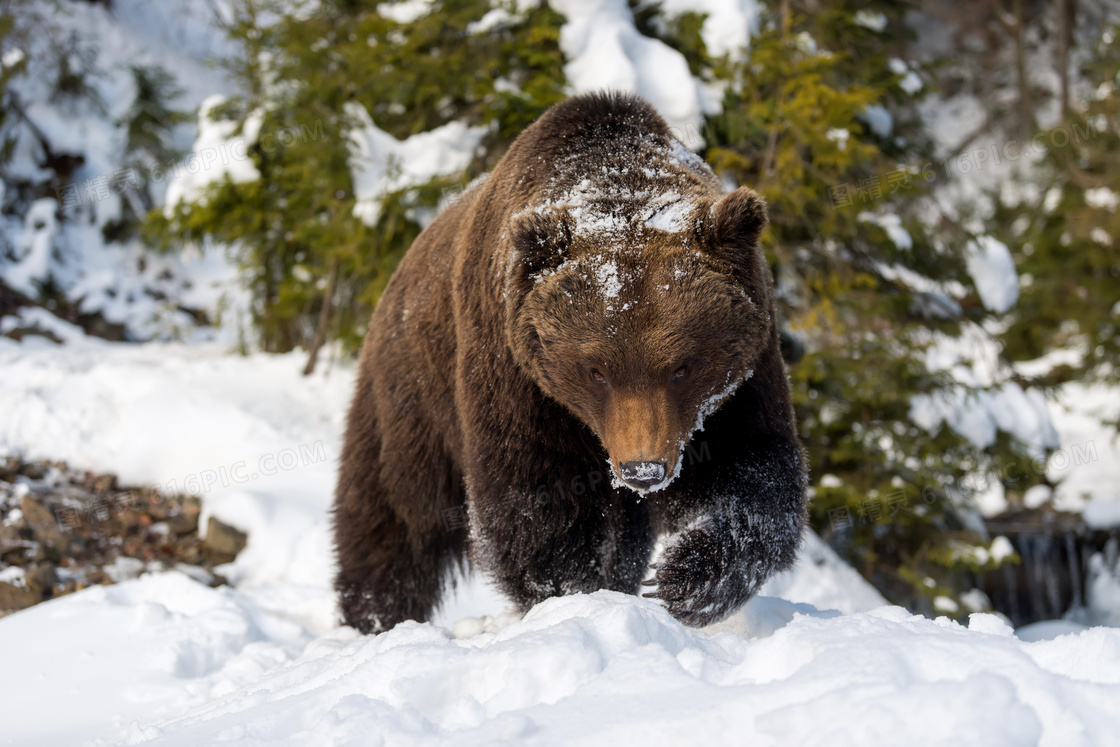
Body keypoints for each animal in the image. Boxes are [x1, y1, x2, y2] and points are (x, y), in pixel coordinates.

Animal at [331, 90, 806, 636]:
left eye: (682, 367)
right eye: (596, 371)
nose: (644, 469)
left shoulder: (738, 380)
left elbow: (749, 468)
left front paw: (687, 577)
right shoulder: (520, 378)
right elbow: (537, 500)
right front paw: (572, 594)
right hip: (412, 393)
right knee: (391, 515)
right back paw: (372, 616)